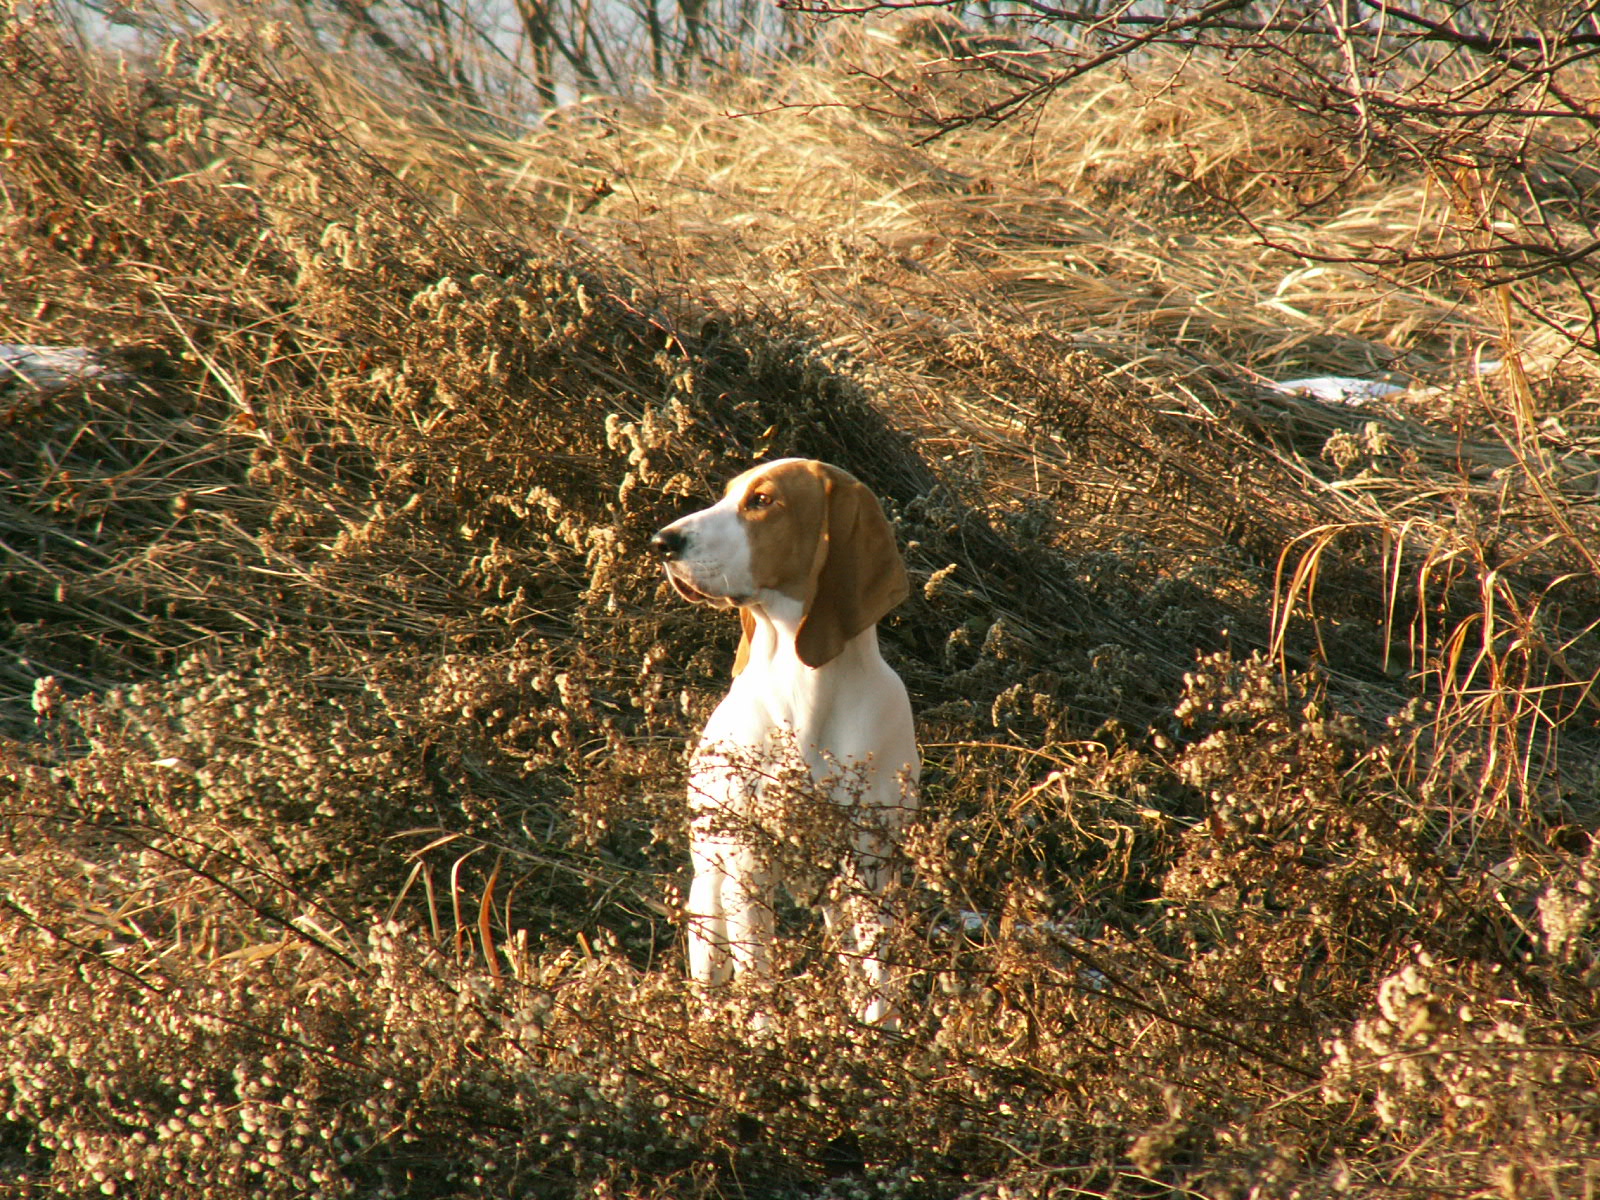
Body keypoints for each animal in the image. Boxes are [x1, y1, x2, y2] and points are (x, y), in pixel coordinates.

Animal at [649, 457, 921, 1024]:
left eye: (762, 500)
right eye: (727, 493)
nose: (662, 541)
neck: (806, 688)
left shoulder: (872, 863)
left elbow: (878, 980)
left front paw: (879, 1038)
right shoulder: (747, 869)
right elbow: (759, 985)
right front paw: (764, 1036)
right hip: (710, 897)